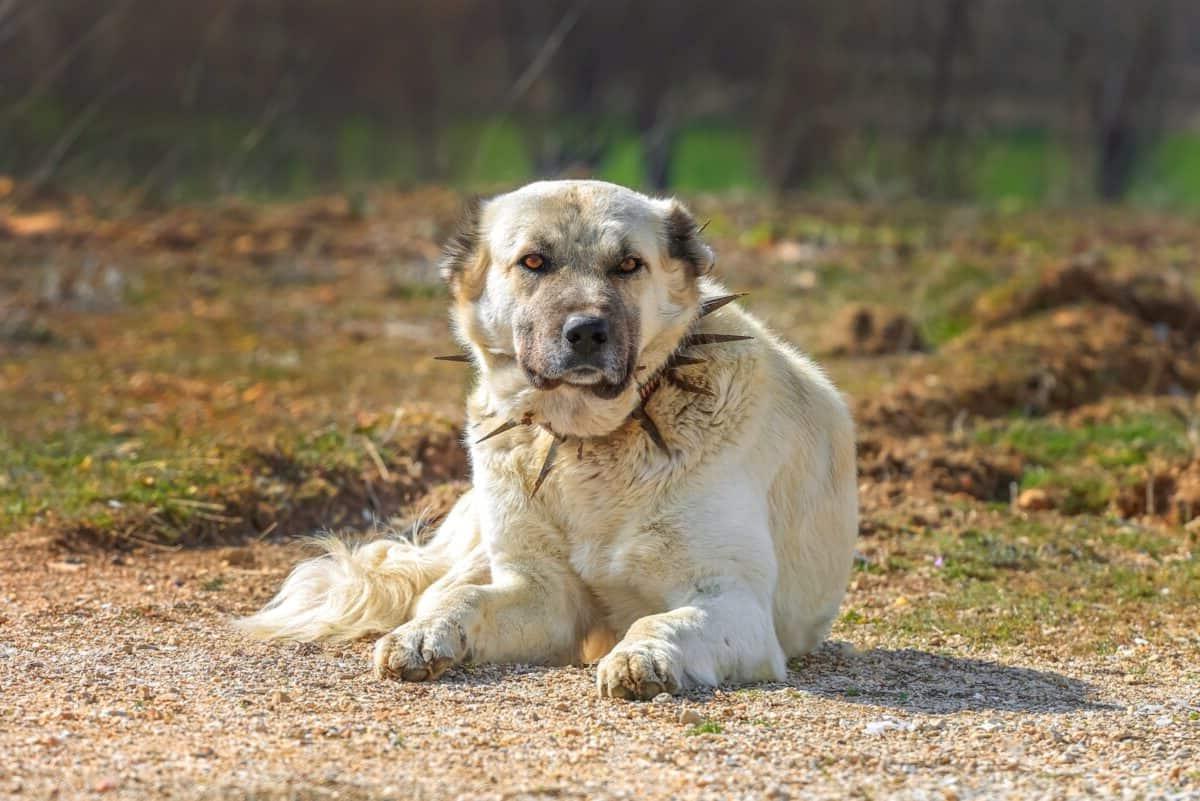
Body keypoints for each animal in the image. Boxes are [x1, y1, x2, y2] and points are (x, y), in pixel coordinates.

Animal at [238, 178, 859, 695]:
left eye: (628, 264)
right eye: (533, 261)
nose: (586, 331)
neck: (594, 443)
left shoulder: (733, 600)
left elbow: (666, 618)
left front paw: (644, 656)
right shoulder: (541, 593)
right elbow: (468, 602)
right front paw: (424, 637)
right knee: (442, 585)